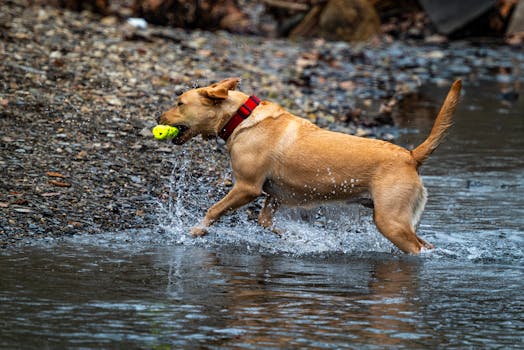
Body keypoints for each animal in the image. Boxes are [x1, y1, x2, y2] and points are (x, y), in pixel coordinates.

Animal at [160, 78, 462, 254]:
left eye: (180, 103)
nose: (157, 117)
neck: (241, 118)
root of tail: (410, 155)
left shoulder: (247, 188)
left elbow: (214, 210)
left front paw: (198, 230)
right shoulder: (274, 195)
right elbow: (266, 222)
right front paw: (295, 238)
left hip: (391, 222)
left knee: (417, 249)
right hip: (400, 220)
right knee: (426, 244)